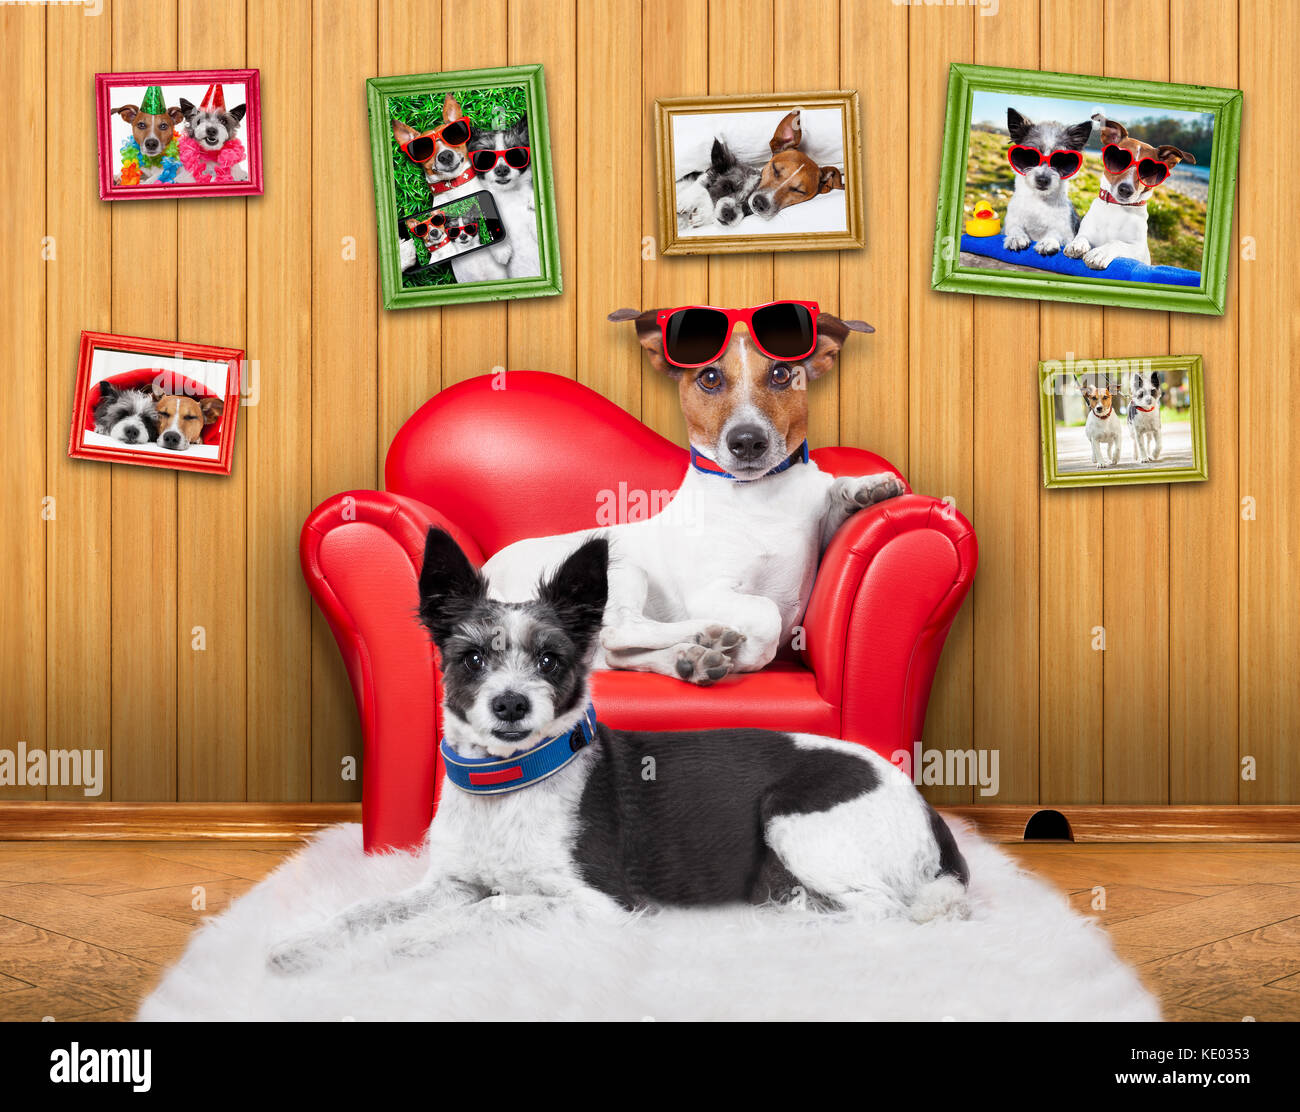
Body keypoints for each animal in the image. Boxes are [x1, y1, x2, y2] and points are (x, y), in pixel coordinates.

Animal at [269, 530, 972, 972]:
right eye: (470, 659)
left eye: (550, 660)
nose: (511, 704)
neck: (508, 787)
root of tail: (926, 811)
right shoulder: (450, 881)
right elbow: (368, 908)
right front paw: (302, 945)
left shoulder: (602, 903)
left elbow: (496, 906)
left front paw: (398, 950)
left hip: (795, 818)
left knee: (881, 910)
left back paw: (791, 922)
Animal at [480, 304, 904, 686]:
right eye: (710, 378)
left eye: (782, 374)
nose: (747, 441)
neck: (759, 494)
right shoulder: (711, 591)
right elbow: (767, 614)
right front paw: (747, 653)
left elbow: (833, 493)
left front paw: (868, 487)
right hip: (620, 568)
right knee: (618, 629)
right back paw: (704, 635)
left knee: (612, 654)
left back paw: (689, 659)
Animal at [998, 107, 1092, 256]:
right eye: (1029, 156)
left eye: (1062, 160)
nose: (1042, 180)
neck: (1039, 201)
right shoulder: (1010, 223)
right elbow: (1014, 227)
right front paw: (1016, 237)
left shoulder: (1066, 232)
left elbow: (1055, 232)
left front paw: (1047, 242)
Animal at [1066, 113, 1196, 271]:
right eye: (1119, 160)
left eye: (1149, 170)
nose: (1125, 190)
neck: (1116, 208)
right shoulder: (1085, 231)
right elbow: (1081, 237)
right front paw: (1076, 244)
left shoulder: (1137, 248)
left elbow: (1117, 243)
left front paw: (1099, 253)